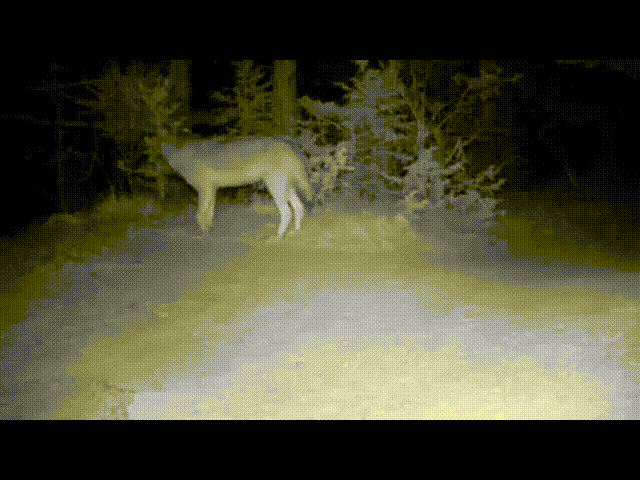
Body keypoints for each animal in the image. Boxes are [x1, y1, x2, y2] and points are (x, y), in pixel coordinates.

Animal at [159, 134, 313, 238]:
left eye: (159, 155)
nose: (157, 170)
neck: (181, 155)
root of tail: (288, 143)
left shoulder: (204, 190)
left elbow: (200, 214)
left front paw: (203, 233)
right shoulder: (211, 190)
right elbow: (209, 213)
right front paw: (209, 229)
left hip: (275, 188)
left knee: (287, 212)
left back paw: (278, 235)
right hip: (285, 188)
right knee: (299, 208)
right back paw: (295, 231)